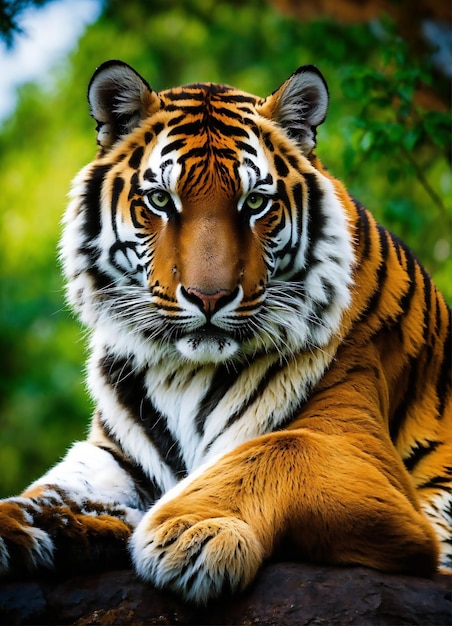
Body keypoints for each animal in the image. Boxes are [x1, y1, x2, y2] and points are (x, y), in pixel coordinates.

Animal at [0, 61, 450, 604]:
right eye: (160, 200)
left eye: (255, 202)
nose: (209, 297)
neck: (183, 372)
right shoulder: (116, 459)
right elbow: (44, 498)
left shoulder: (361, 453)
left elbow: (280, 447)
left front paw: (192, 533)